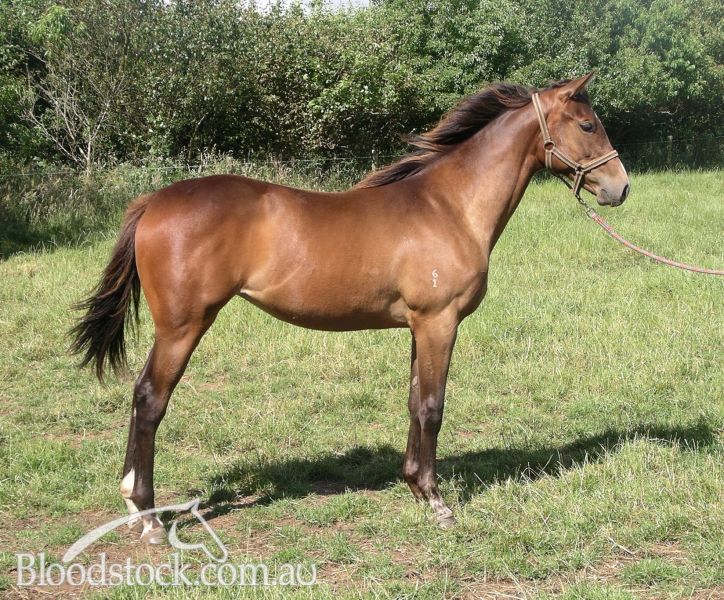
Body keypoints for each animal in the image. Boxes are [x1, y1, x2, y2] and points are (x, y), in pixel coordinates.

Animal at [70, 72, 630, 543]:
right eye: (587, 124)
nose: (620, 187)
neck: (449, 207)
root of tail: (153, 202)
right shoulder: (439, 323)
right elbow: (433, 407)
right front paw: (438, 504)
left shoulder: (419, 328)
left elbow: (414, 403)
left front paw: (415, 487)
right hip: (183, 327)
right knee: (150, 400)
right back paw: (147, 519)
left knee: (142, 397)